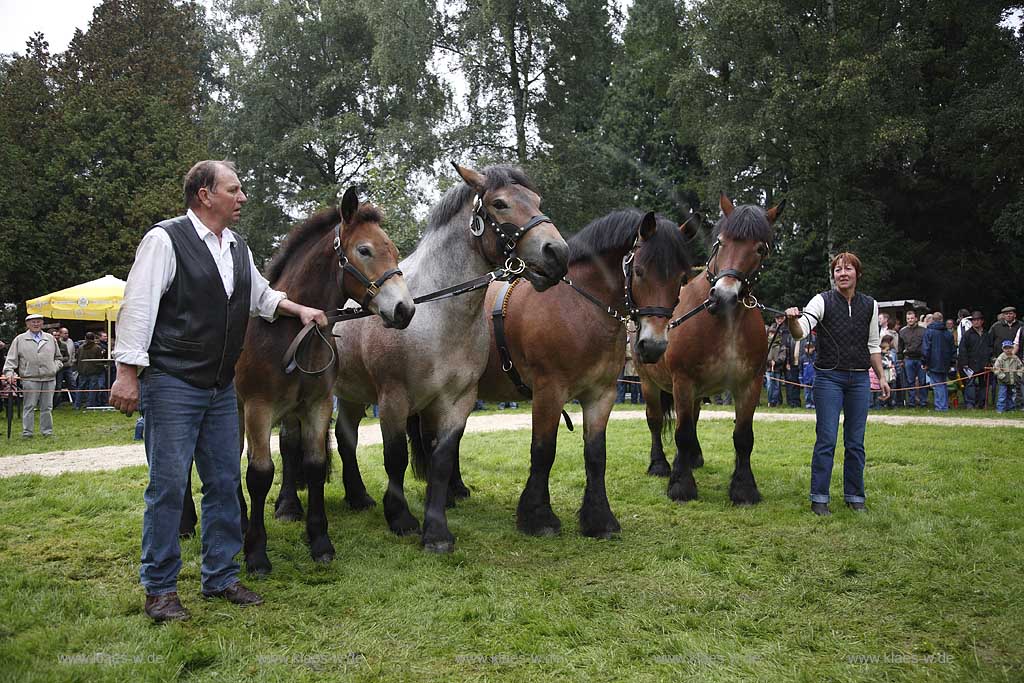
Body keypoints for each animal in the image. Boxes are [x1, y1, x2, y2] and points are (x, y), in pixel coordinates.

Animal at [182, 188, 413, 577]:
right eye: (364, 250)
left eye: (394, 251)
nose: (404, 309)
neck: (293, 331)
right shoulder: (260, 408)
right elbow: (260, 473)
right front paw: (257, 554)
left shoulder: (316, 405)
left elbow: (314, 465)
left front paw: (319, 541)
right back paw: (187, 523)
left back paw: (240, 521)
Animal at [468, 208, 700, 540]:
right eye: (639, 271)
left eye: (681, 279)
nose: (653, 346)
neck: (580, 308)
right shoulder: (548, 392)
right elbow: (543, 451)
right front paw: (538, 517)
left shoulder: (601, 395)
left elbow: (596, 455)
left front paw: (599, 519)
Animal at [638, 194, 782, 505]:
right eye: (720, 242)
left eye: (760, 248)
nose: (723, 296)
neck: (725, 323)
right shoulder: (682, 381)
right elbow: (680, 433)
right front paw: (680, 485)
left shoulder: (749, 384)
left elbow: (743, 436)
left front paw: (744, 488)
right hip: (648, 381)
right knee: (655, 420)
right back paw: (660, 464)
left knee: (692, 420)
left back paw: (693, 458)